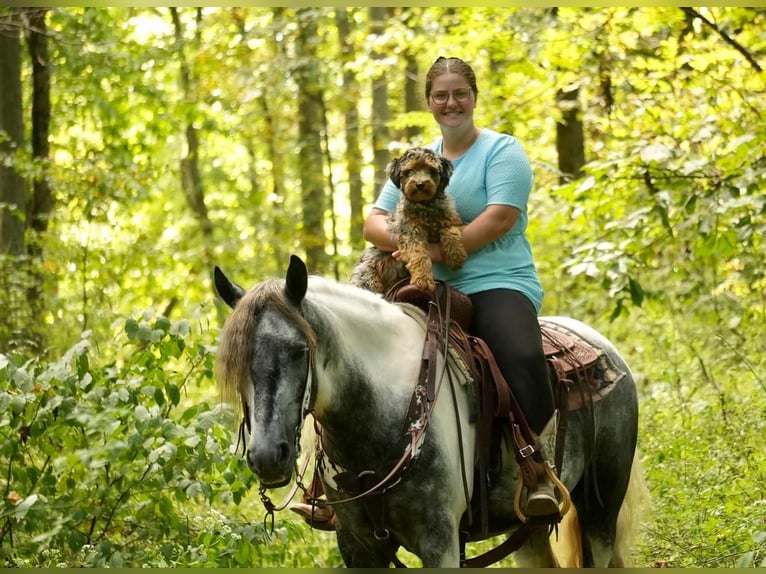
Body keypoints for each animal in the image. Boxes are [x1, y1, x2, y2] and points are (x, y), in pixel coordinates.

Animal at [213, 258, 644, 572]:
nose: (268, 456)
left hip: (600, 508)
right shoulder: (357, 545)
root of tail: (604, 346)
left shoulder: (440, 542)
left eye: (299, 350)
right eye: (234, 362)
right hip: (529, 527)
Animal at [352, 146, 468, 294]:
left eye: (431, 170)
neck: (425, 205)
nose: (420, 184)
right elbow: (418, 255)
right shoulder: (411, 232)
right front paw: (423, 279)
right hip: (367, 277)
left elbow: (451, 233)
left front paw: (455, 256)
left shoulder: (451, 218)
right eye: (409, 171)